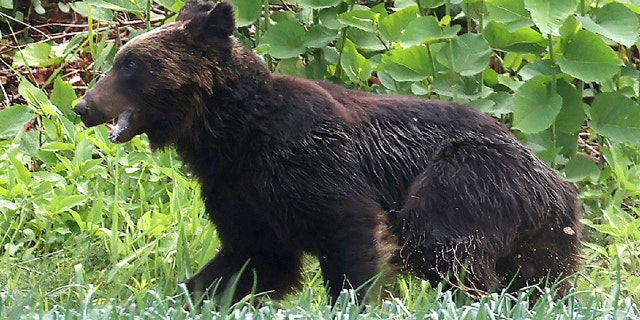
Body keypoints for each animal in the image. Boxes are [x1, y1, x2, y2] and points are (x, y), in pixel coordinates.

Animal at [72, 0, 584, 304]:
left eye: (130, 65)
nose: (82, 105)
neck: (231, 134)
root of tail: (558, 181)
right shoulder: (238, 189)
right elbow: (252, 257)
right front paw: (193, 292)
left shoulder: (311, 160)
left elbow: (349, 231)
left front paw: (353, 299)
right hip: (543, 235)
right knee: (540, 277)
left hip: (468, 177)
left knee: (441, 242)